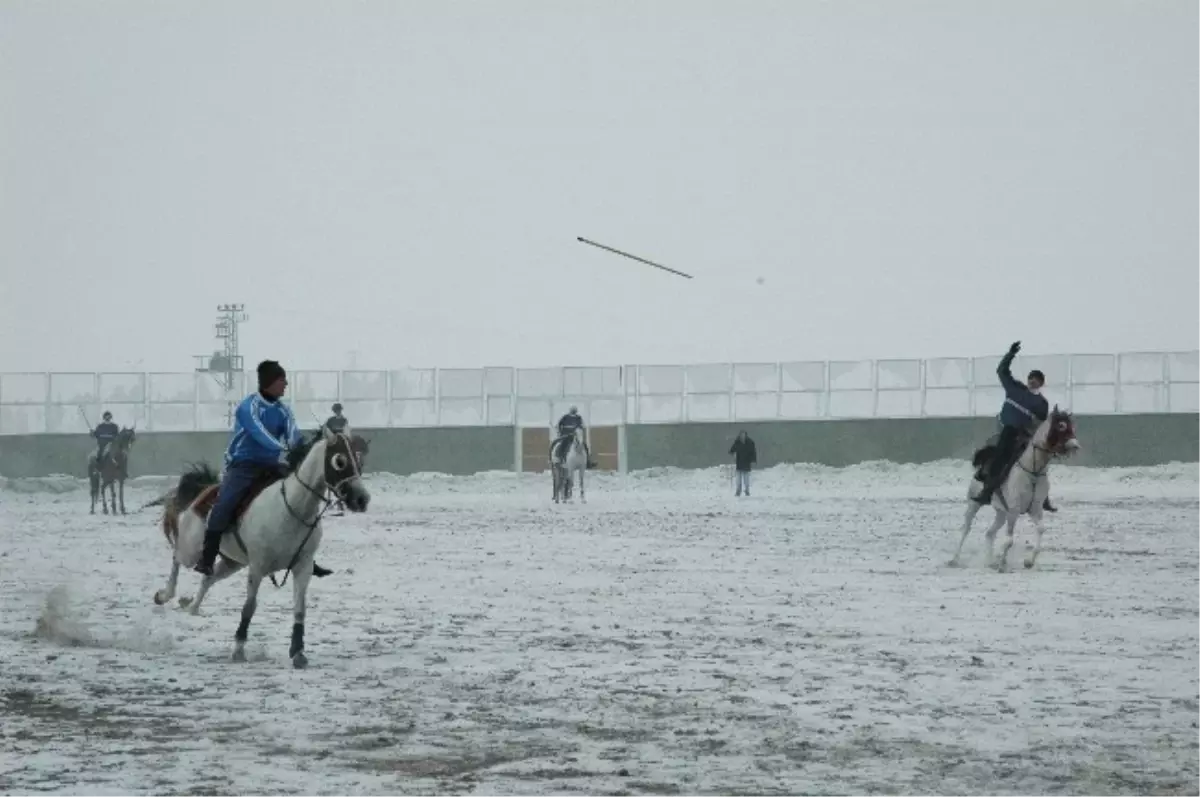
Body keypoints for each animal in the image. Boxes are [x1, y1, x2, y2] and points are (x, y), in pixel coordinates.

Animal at [154, 429, 369, 667]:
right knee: (177, 558)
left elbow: (300, 609)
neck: (293, 509)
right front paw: (238, 650)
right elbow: (249, 606)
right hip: (192, 551)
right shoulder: (257, 567)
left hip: (233, 562)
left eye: (359, 460)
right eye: (339, 461)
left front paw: (298, 652)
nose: (362, 499)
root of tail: (203, 492)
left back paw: (191, 606)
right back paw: (165, 595)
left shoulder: (303, 567)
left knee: (208, 578)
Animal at [950, 405, 1084, 573]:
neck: (1033, 471)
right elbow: (1009, 541)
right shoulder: (1013, 510)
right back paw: (955, 559)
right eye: (1060, 426)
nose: (1075, 445)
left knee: (989, 534)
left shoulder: (1035, 509)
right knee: (966, 528)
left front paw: (1028, 562)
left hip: (1001, 513)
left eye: (1072, 426)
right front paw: (1002, 564)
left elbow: (1041, 530)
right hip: (974, 504)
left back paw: (989, 561)